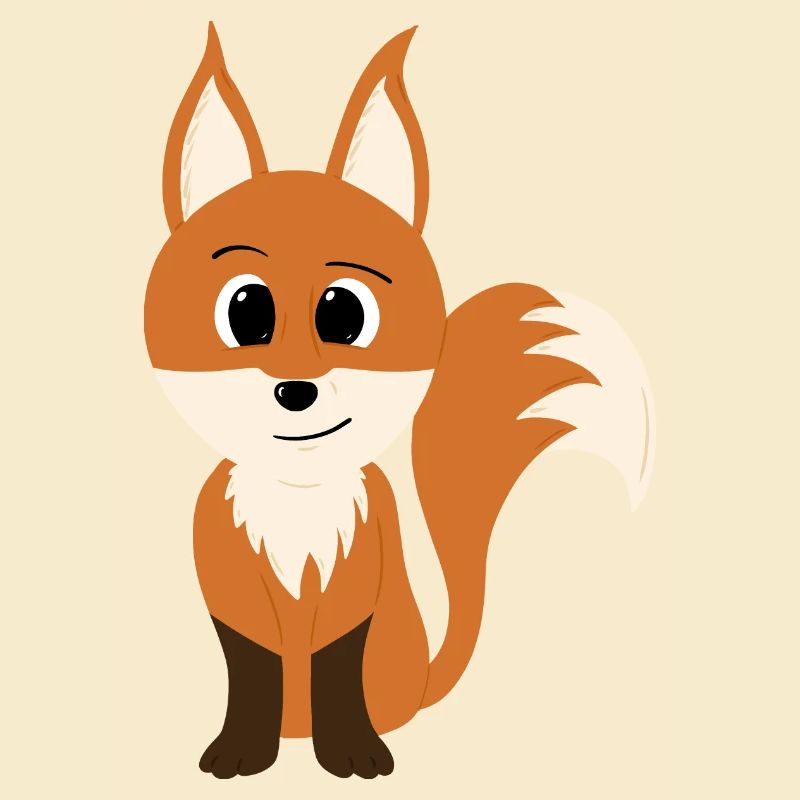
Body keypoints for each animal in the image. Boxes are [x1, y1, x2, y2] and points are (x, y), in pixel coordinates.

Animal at [144, 22, 654, 780]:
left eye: (344, 314)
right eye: (246, 310)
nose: (295, 391)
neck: (298, 496)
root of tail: (424, 680)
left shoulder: (365, 572)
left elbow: (336, 664)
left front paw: (351, 753)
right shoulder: (227, 574)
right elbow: (254, 667)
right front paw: (240, 751)